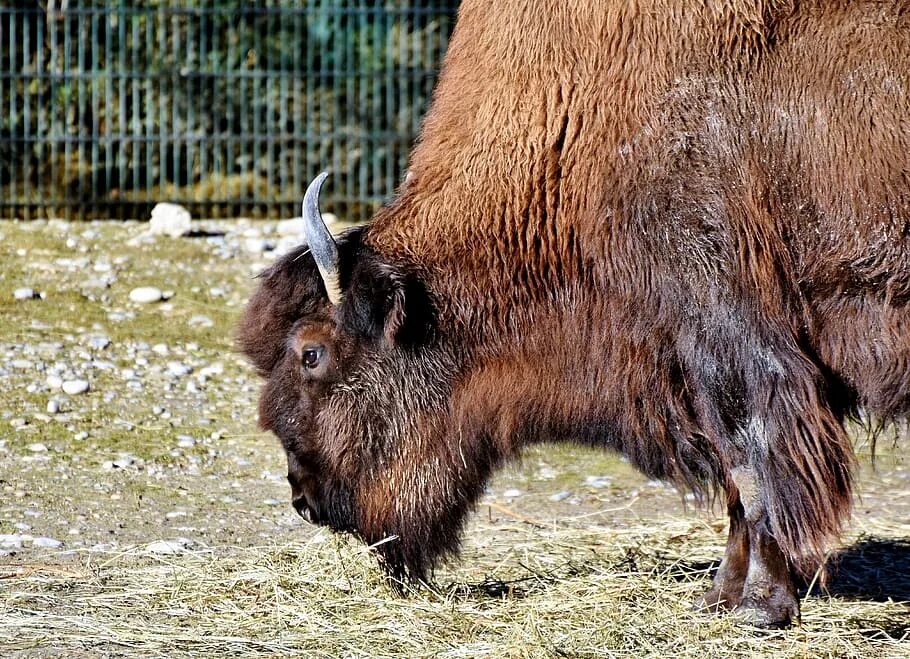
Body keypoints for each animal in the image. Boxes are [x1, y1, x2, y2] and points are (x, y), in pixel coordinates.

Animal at [242, 0, 910, 628]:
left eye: (311, 353)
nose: (304, 498)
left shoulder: (726, 330)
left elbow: (751, 463)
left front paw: (758, 605)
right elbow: (733, 482)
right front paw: (719, 596)